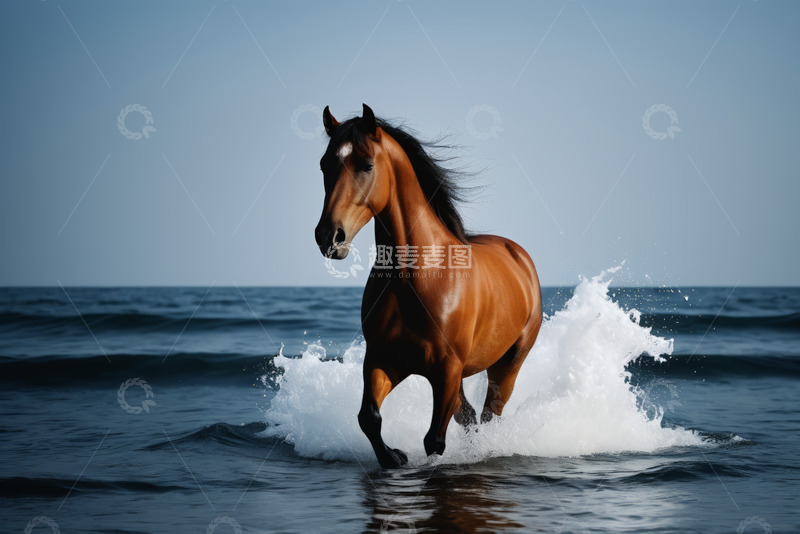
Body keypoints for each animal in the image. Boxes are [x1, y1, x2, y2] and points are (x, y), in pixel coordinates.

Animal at [314, 104, 542, 468]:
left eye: (366, 165)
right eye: (325, 164)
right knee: (470, 417)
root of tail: (519, 256)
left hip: (508, 364)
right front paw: (395, 457)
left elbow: (434, 440)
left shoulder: (446, 369)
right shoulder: (384, 360)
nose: (329, 237)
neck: (415, 280)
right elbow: (369, 418)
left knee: (491, 415)